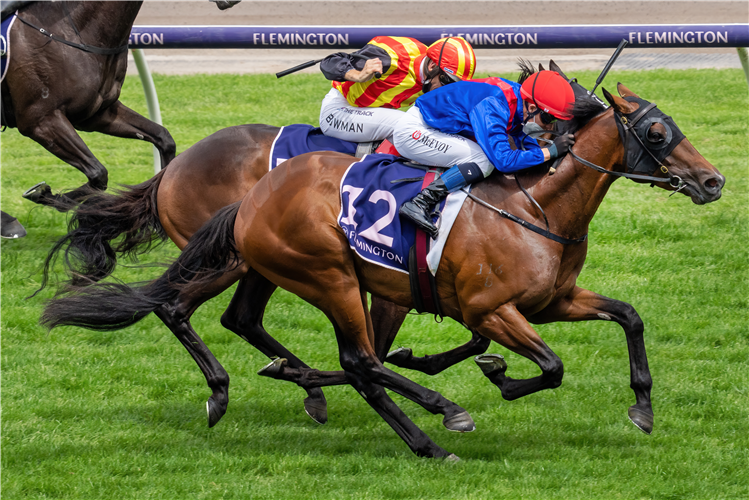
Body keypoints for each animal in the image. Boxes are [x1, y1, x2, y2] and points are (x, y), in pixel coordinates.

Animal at [42, 84, 724, 458]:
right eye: (656, 131)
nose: (714, 181)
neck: (534, 206)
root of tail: (176, 170)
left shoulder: (550, 300)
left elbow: (629, 317)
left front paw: (642, 407)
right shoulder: (486, 308)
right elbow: (548, 366)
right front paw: (497, 378)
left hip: (266, 265)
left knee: (256, 325)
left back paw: (313, 388)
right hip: (319, 273)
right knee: (343, 356)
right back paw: (429, 418)